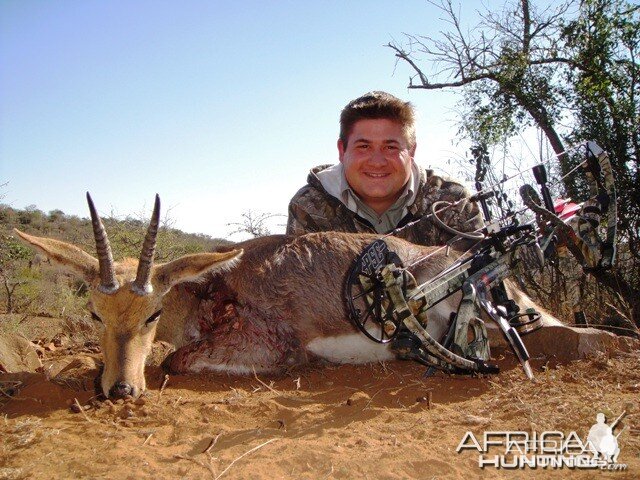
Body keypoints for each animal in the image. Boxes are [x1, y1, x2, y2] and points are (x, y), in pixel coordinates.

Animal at [13, 194, 616, 398]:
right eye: (95, 313)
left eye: (152, 312)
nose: (120, 390)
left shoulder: (269, 347)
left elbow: (175, 360)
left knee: (580, 335)